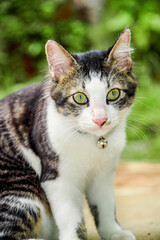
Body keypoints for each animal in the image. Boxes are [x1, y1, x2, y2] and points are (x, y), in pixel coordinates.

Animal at [0, 28, 137, 240]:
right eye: (80, 97)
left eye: (113, 94)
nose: (100, 120)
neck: (91, 141)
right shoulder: (57, 178)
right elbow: (71, 216)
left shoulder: (104, 174)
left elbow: (105, 206)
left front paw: (114, 232)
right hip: (21, 189)